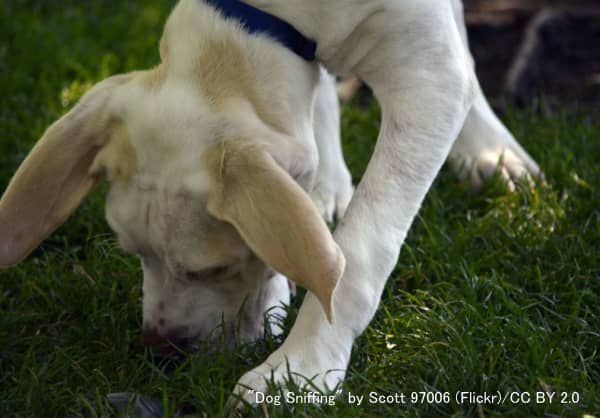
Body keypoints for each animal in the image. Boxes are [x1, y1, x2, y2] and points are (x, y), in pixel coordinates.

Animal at [1, 0, 540, 404]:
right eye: (136, 254)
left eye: (212, 269)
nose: (162, 351)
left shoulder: (426, 82)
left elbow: (360, 251)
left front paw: (300, 368)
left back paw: (491, 148)